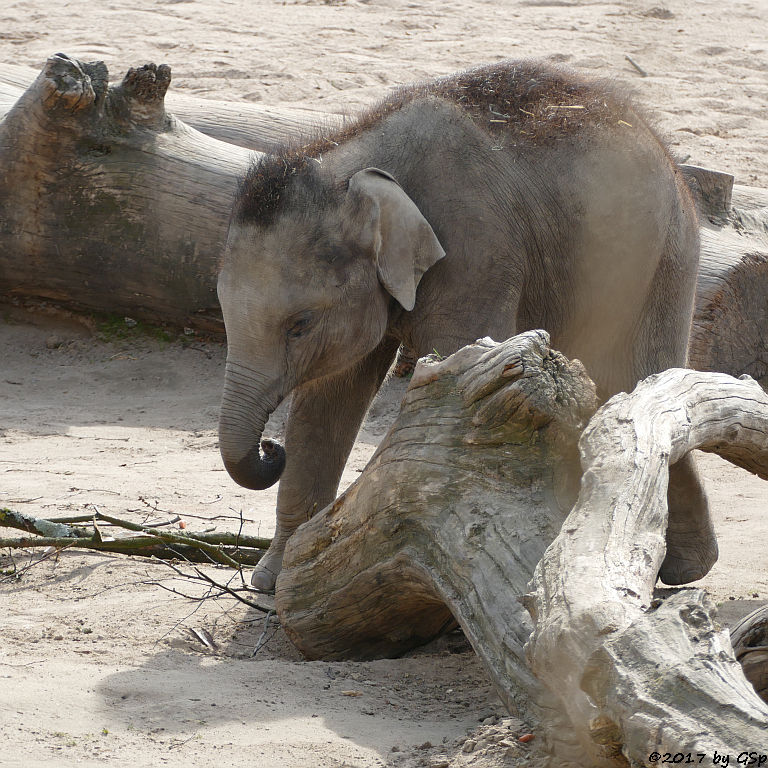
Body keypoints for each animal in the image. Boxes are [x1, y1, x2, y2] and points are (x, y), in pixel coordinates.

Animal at [214, 60, 712, 592]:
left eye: (299, 324)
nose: (270, 447)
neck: (351, 161)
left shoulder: (475, 254)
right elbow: (327, 402)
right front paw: (273, 584)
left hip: (664, 261)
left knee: (637, 377)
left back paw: (680, 567)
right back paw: (679, 566)